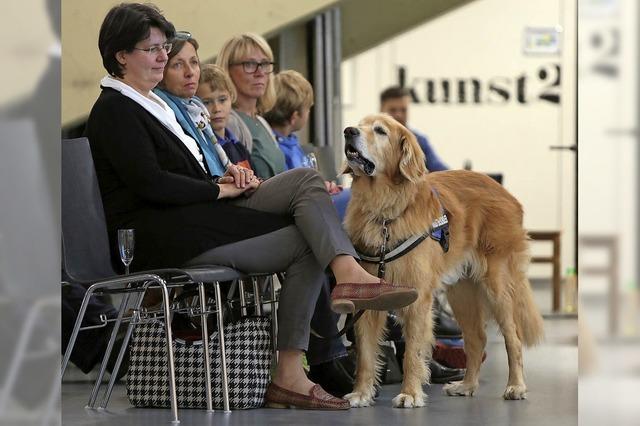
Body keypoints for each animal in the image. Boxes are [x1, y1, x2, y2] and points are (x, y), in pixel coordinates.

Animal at [342, 115, 544, 408]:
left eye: (380, 131)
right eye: (359, 124)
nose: (348, 131)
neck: (385, 210)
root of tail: (504, 191)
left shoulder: (418, 298)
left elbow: (412, 352)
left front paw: (410, 393)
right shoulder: (368, 297)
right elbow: (366, 353)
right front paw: (361, 393)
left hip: (497, 285)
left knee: (513, 338)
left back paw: (516, 386)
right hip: (462, 292)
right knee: (476, 339)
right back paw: (467, 385)